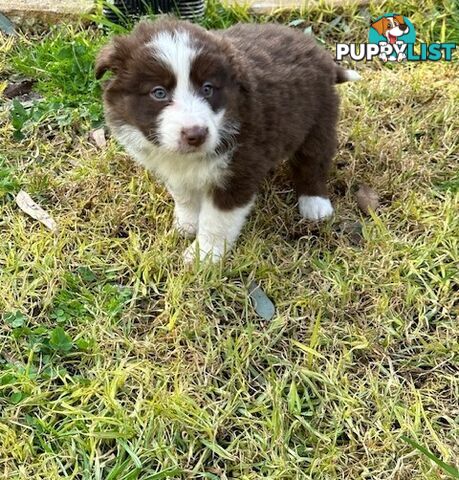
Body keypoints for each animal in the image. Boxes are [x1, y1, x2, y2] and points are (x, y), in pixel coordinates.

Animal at [97, 17, 362, 262]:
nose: (196, 134)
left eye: (207, 89)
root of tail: (319, 53)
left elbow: (217, 220)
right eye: (158, 93)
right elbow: (184, 197)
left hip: (318, 121)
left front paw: (203, 256)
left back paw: (315, 205)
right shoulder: (176, 169)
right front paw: (187, 226)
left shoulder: (238, 170)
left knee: (313, 162)